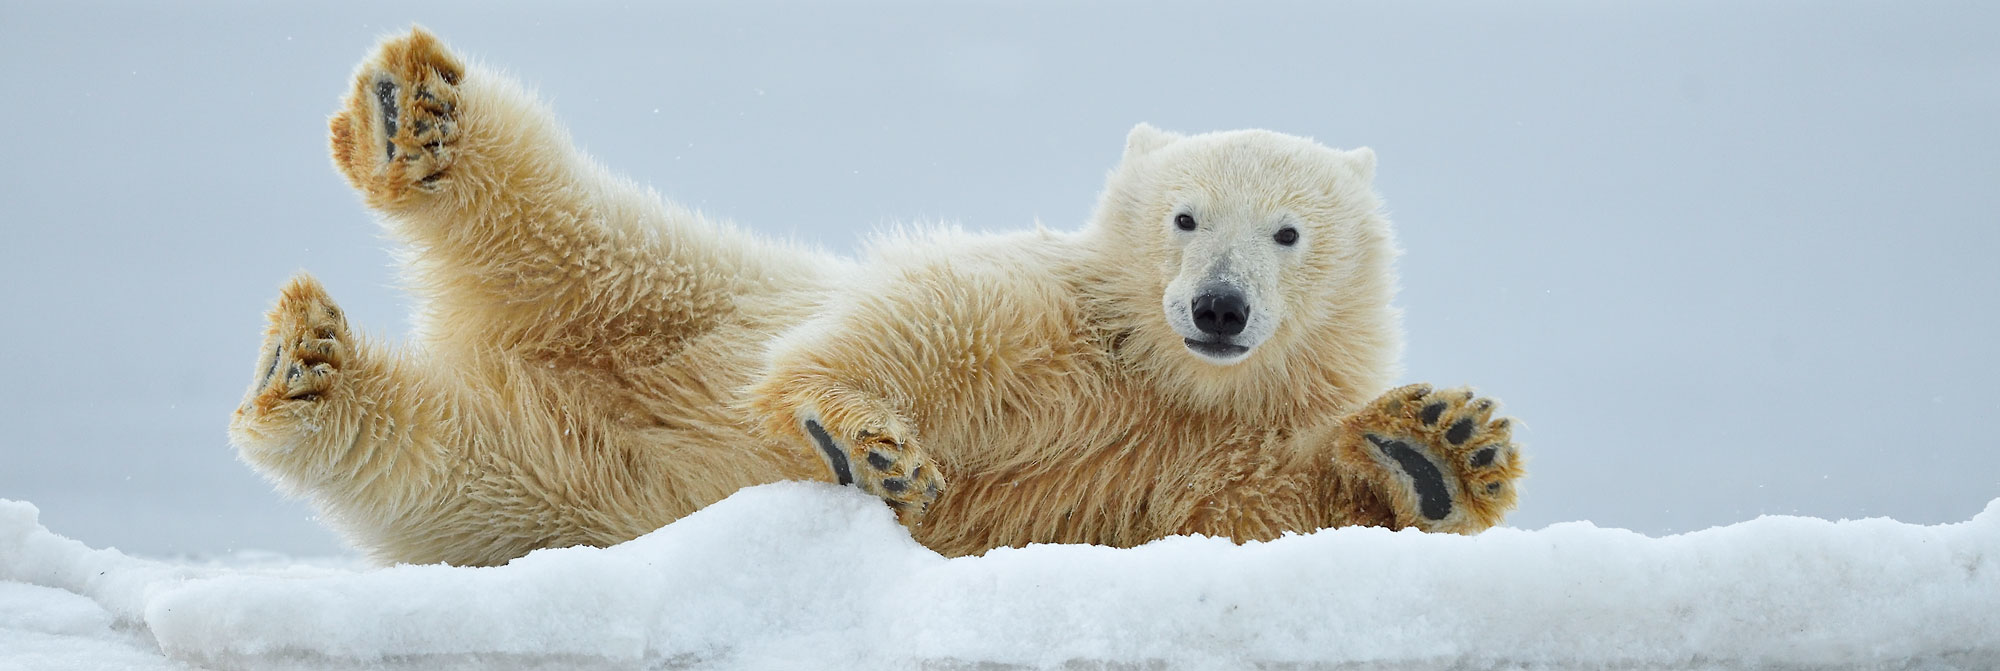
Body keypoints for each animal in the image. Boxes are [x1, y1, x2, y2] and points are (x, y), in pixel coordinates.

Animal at [227, 28, 1520, 567]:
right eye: (1184, 216)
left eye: (1287, 232)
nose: (1215, 308)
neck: (1159, 377)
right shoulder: (1049, 308)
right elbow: (924, 320)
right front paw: (867, 442)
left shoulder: (1200, 448)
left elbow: (1257, 501)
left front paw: (1439, 448)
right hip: (684, 284)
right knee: (569, 222)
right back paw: (409, 119)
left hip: (557, 487)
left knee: (443, 450)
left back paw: (314, 372)